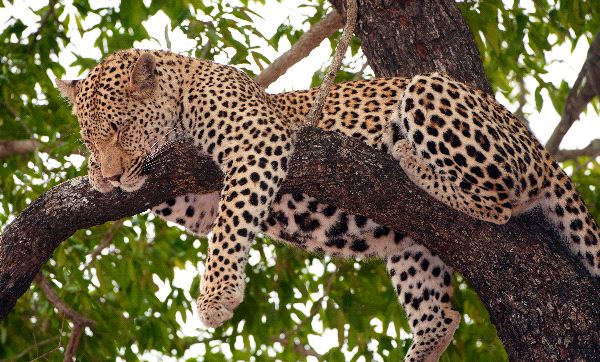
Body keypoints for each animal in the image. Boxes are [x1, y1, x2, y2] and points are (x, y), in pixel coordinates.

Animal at [56, 48, 600, 362]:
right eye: (88, 136)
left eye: (119, 128)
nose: (108, 175)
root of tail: (536, 145)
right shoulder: (198, 199)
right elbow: (211, 213)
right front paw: (97, 179)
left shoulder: (258, 141)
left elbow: (231, 225)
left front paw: (216, 296)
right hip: (412, 246)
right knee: (442, 315)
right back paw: (422, 350)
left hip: (431, 92)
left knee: (500, 202)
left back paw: (408, 158)